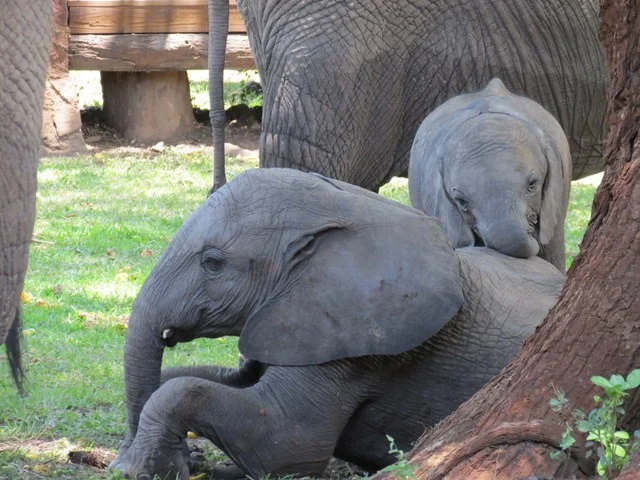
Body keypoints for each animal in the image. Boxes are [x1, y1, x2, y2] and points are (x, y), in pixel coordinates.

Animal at [112, 168, 565, 479]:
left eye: (213, 262)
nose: (188, 458)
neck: (340, 209)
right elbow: (199, 378)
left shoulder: (359, 345)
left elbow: (286, 444)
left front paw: (139, 470)